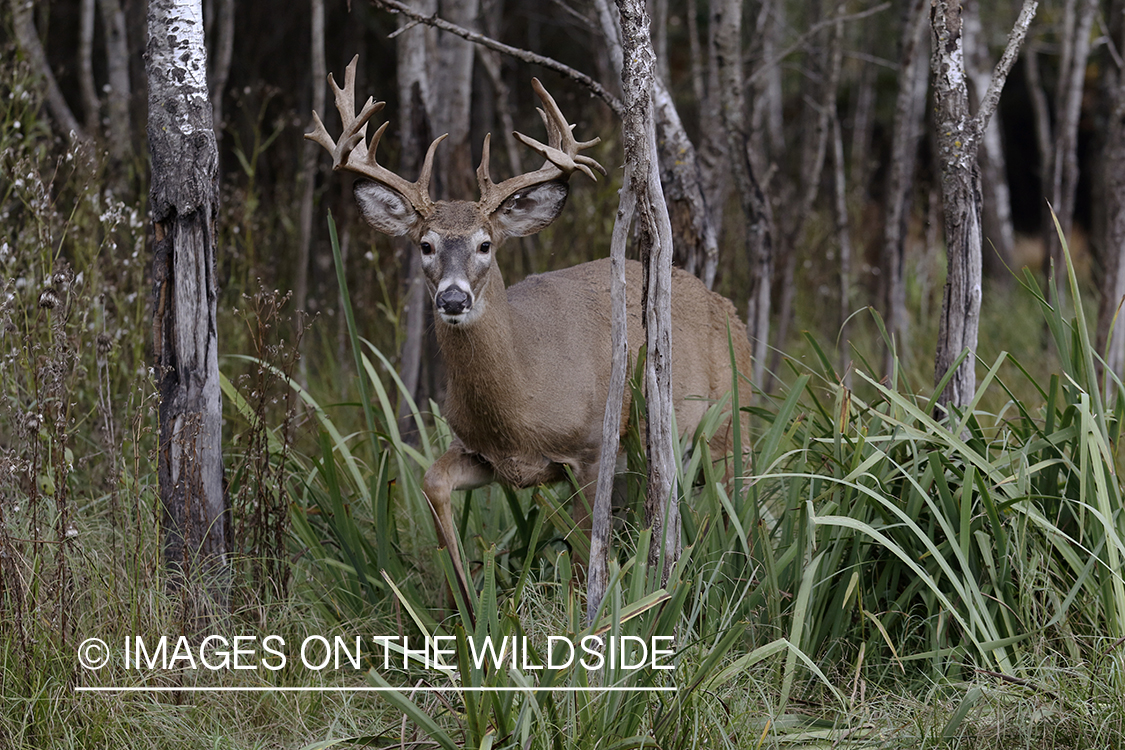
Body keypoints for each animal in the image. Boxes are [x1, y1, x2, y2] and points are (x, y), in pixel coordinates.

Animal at [306, 55, 756, 602]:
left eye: (485, 244)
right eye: (426, 245)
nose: (452, 299)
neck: (520, 398)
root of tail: (726, 308)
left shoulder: (590, 449)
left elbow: (586, 555)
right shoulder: (482, 451)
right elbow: (433, 483)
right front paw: (466, 602)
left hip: (729, 421)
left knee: (740, 497)